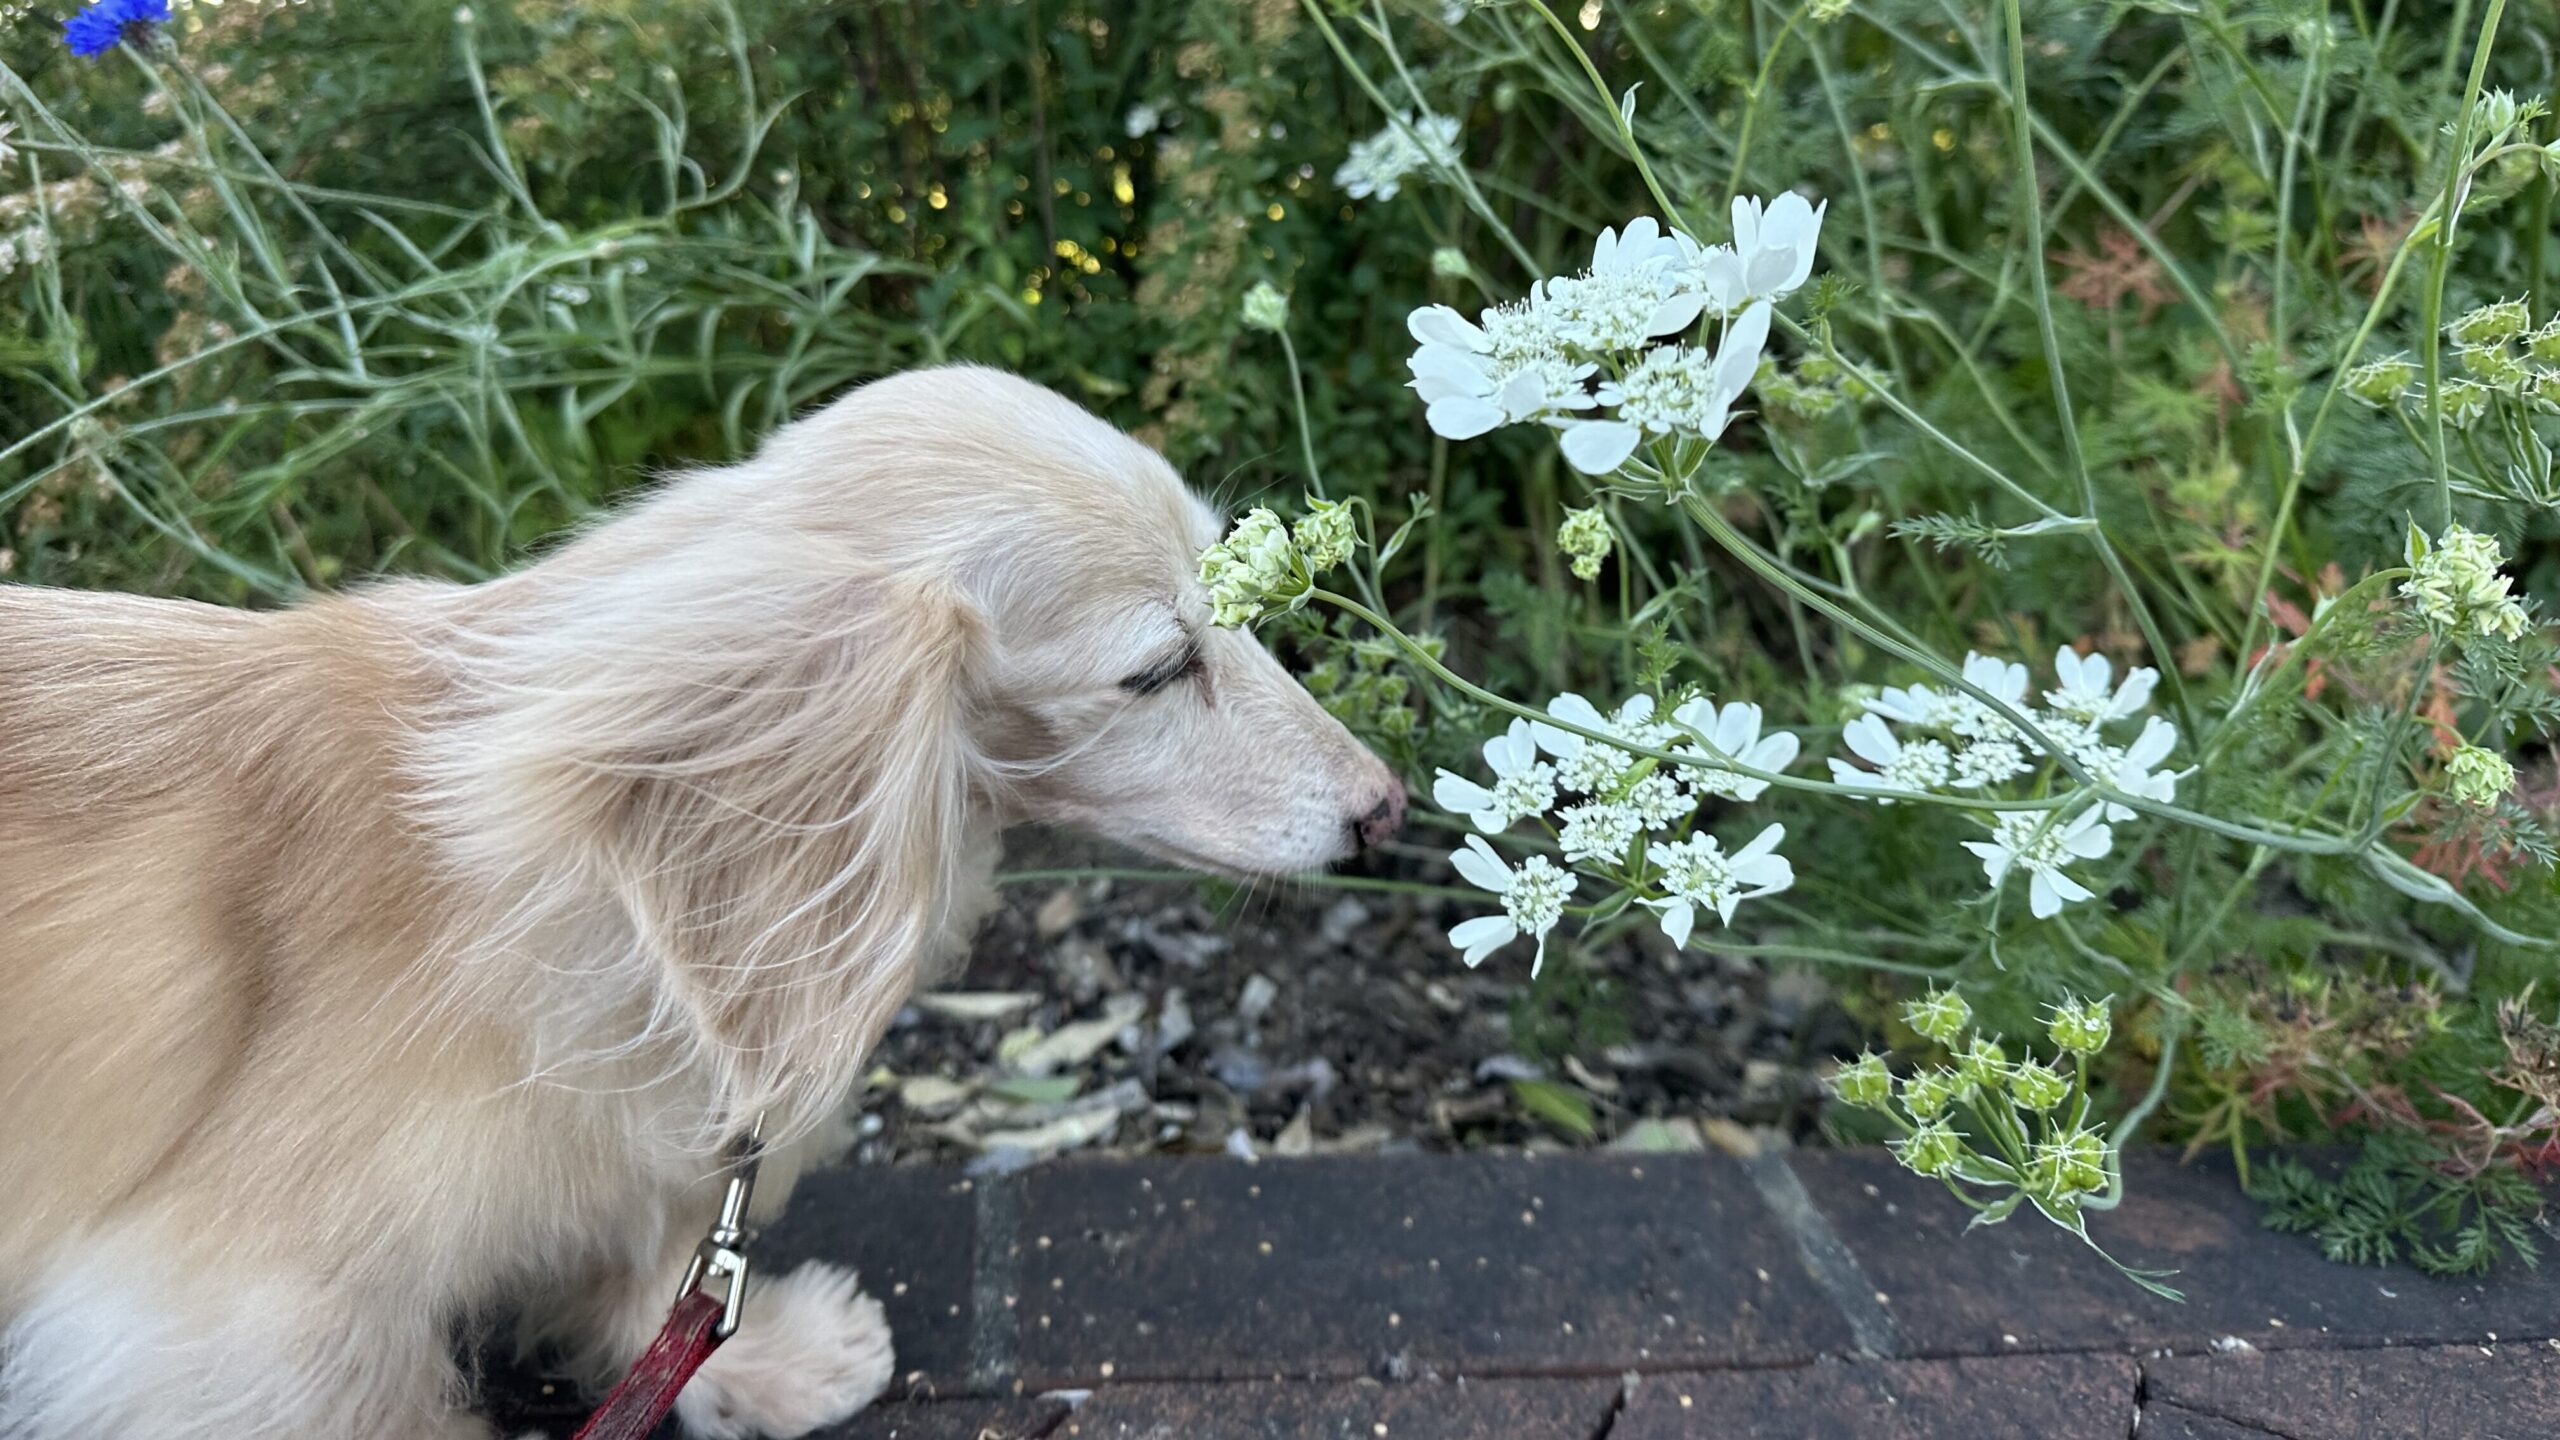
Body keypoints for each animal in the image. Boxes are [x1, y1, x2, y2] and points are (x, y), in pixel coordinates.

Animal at [0, 366, 1402, 1434]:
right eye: (1159, 667)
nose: (1385, 810)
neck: (495, 882)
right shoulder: (232, 1319)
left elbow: (659, 1268)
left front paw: (761, 1360)